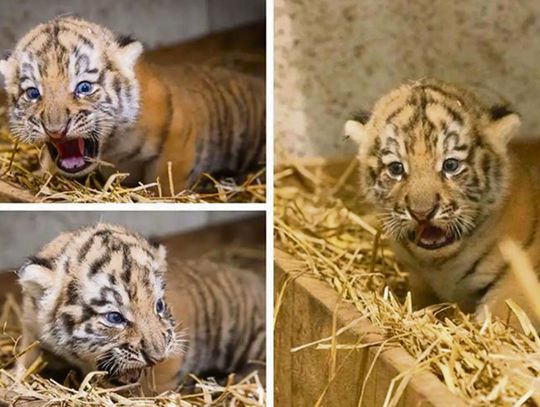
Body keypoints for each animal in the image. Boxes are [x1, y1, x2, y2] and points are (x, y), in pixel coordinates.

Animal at [0, 16, 264, 192]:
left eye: (84, 87)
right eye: (33, 93)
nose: (55, 131)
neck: (111, 149)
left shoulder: (179, 134)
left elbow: (166, 181)